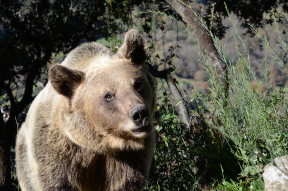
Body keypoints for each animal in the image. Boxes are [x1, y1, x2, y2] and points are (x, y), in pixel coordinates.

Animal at [15, 29, 156, 190]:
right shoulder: (59, 153)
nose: (140, 113)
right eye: (108, 95)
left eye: (137, 84)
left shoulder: (129, 158)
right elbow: (56, 180)